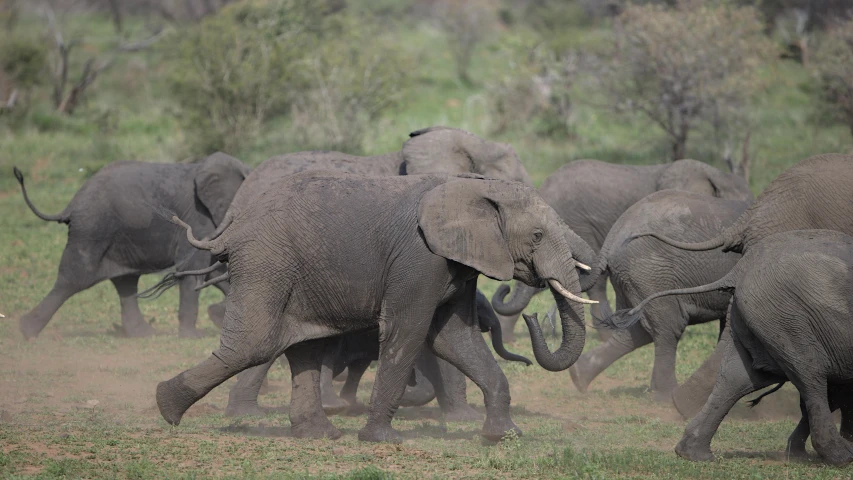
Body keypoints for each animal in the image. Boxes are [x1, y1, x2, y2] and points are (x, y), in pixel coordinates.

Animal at [12, 153, 250, 338]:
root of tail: (71, 205)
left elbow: (214, 270)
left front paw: (217, 317)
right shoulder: (198, 217)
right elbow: (194, 268)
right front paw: (193, 336)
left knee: (125, 282)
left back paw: (144, 334)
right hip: (92, 229)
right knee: (73, 279)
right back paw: (26, 331)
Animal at [153, 172, 592, 442]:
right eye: (537, 235)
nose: (533, 317)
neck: (472, 188)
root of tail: (232, 227)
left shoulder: (457, 265)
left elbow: (455, 339)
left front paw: (503, 436)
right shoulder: (420, 258)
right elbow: (408, 332)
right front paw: (382, 439)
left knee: (302, 345)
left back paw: (319, 434)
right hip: (266, 262)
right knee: (255, 343)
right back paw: (166, 407)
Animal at [568, 189, 748, 400]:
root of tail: (613, 236)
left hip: (631, 278)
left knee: (634, 332)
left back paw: (579, 376)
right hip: (650, 273)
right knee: (669, 327)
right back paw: (666, 395)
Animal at [604, 231, 853, 466]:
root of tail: (741, 268)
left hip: (759, 314)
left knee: (738, 378)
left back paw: (692, 453)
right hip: (787, 317)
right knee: (810, 375)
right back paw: (840, 457)